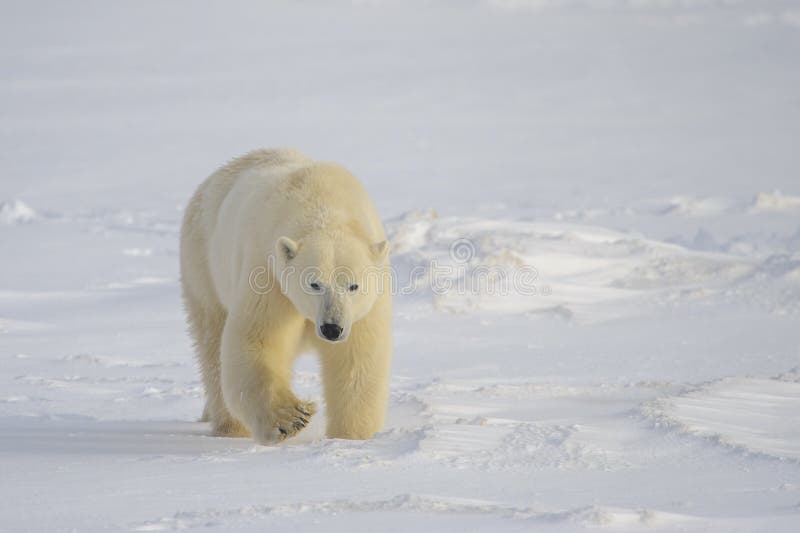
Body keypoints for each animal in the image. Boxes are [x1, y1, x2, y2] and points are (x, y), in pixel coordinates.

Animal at [182, 148, 394, 442]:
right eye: (314, 284)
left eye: (354, 286)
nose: (331, 328)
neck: (324, 205)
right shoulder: (269, 275)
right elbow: (259, 339)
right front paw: (292, 418)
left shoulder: (365, 306)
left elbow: (357, 358)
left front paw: (351, 436)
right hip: (203, 264)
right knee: (212, 343)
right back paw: (230, 427)